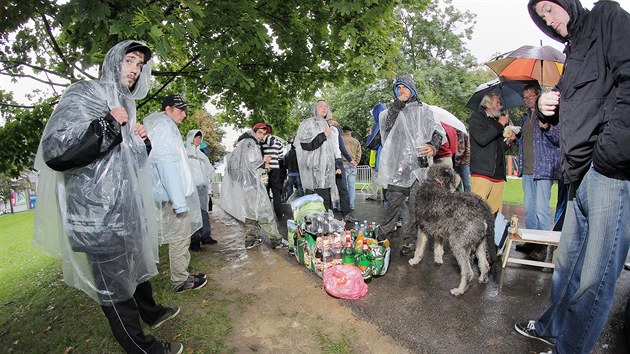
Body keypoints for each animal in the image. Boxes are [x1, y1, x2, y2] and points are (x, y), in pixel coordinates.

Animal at [412, 164, 496, 296]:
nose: (456, 176)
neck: (434, 184)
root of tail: (483, 207)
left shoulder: (422, 228)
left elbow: (419, 248)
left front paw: (415, 260)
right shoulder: (439, 231)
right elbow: (438, 246)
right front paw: (438, 259)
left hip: (458, 244)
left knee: (468, 272)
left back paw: (459, 290)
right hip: (480, 243)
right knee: (485, 264)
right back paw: (482, 279)